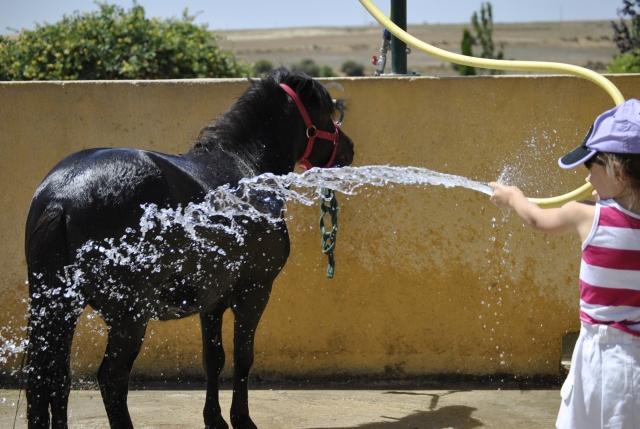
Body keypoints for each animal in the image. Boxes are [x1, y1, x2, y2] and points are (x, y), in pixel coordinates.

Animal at [23, 67, 354, 429]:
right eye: (326, 112)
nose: (348, 148)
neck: (246, 166)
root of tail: (63, 196)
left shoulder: (212, 299)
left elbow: (214, 359)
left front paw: (215, 419)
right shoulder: (254, 291)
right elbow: (243, 357)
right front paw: (241, 419)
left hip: (58, 306)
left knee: (52, 377)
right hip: (127, 314)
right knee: (111, 377)